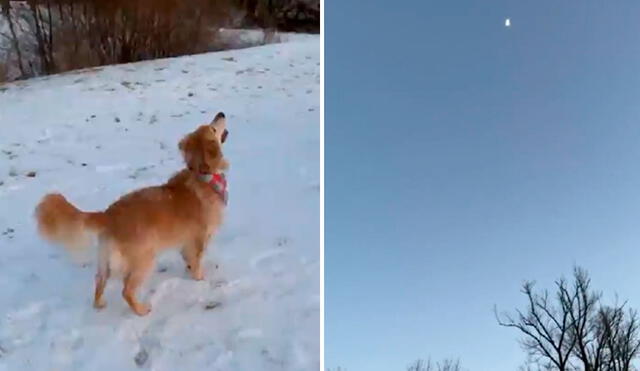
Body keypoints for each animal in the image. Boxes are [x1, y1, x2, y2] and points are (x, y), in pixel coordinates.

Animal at [34, 112, 230, 316]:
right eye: (213, 129)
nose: (221, 113)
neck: (203, 176)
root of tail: (108, 215)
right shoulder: (199, 237)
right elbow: (197, 261)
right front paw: (199, 279)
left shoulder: (186, 241)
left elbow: (188, 259)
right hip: (144, 260)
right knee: (126, 290)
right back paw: (141, 310)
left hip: (106, 261)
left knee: (99, 282)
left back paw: (100, 304)